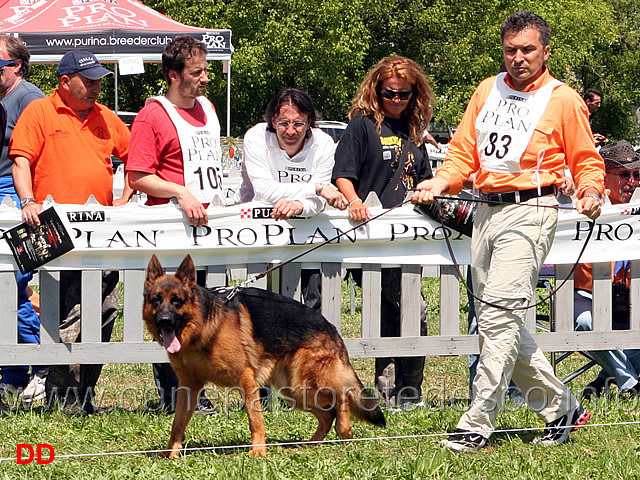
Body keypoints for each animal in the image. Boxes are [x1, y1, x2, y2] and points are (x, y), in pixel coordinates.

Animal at [145, 255, 384, 458]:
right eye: (156, 300)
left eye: (177, 301)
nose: (164, 321)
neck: (203, 325)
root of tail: (330, 326)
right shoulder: (188, 386)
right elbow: (177, 423)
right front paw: (171, 452)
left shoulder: (246, 379)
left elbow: (255, 419)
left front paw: (258, 450)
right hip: (294, 390)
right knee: (327, 414)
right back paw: (311, 443)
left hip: (304, 383)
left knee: (342, 394)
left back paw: (344, 429)